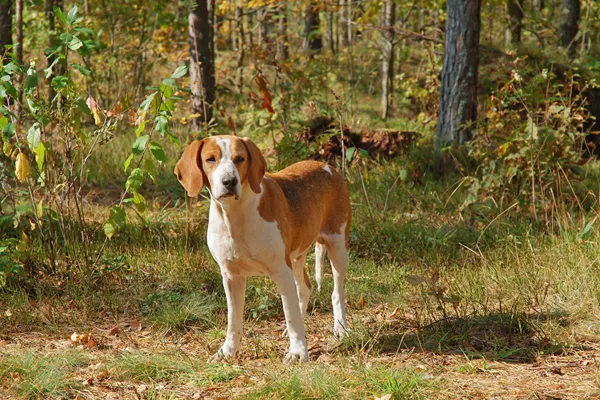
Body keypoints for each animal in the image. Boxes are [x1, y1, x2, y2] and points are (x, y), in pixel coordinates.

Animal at [175, 135, 352, 362]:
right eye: (210, 159)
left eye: (240, 159)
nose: (229, 182)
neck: (236, 216)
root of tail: (326, 166)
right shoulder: (231, 277)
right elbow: (233, 321)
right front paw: (227, 351)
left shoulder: (281, 272)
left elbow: (291, 316)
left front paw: (297, 352)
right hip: (296, 256)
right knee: (305, 287)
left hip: (337, 248)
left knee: (336, 292)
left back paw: (340, 328)